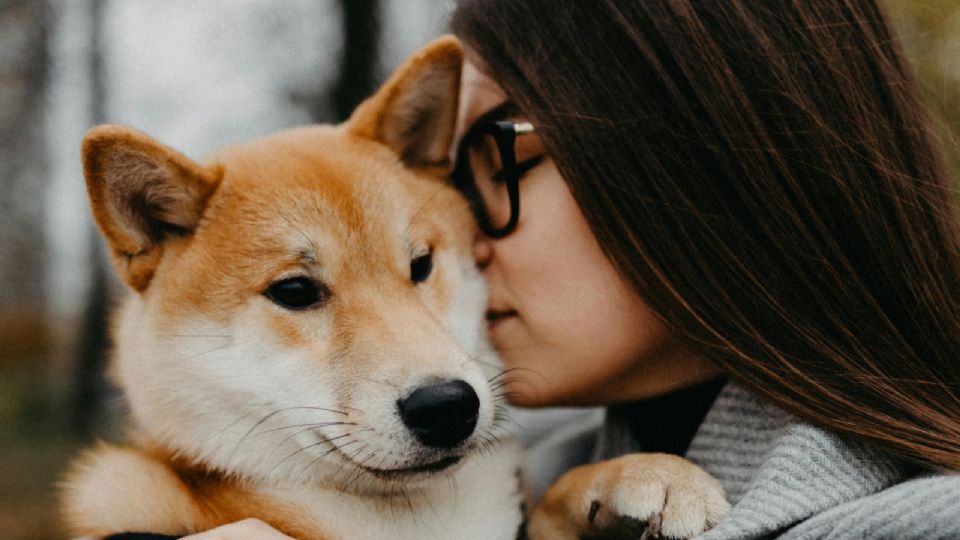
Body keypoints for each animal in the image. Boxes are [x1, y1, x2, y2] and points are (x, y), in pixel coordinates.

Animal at [62, 35, 728, 536]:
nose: (446, 405)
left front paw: (642, 474)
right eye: (295, 292)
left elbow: (551, 496)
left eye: (421, 264)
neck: (417, 523)